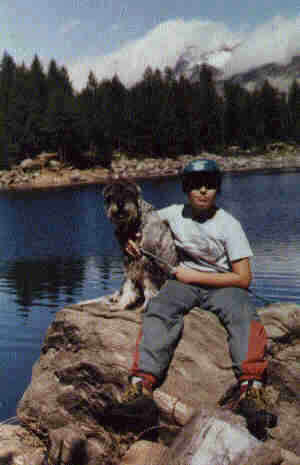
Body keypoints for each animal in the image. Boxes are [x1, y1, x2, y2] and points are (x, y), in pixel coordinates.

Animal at [103, 179, 178, 310]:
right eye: (112, 194)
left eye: (129, 192)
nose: (120, 204)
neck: (135, 224)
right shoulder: (130, 260)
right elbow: (128, 286)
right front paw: (122, 304)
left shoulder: (148, 261)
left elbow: (149, 288)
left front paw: (145, 305)